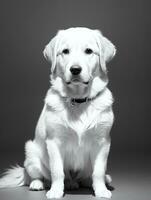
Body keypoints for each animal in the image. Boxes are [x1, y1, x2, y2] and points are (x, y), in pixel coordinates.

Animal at [0, 27, 116, 198]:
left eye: (89, 51)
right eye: (65, 51)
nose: (75, 70)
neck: (78, 100)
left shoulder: (102, 142)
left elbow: (99, 171)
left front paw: (101, 190)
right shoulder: (54, 142)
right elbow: (57, 171)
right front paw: (55, 191)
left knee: (87, 177)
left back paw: (92, 182)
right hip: (31, 153)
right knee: (38, 176)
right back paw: (39, 184)